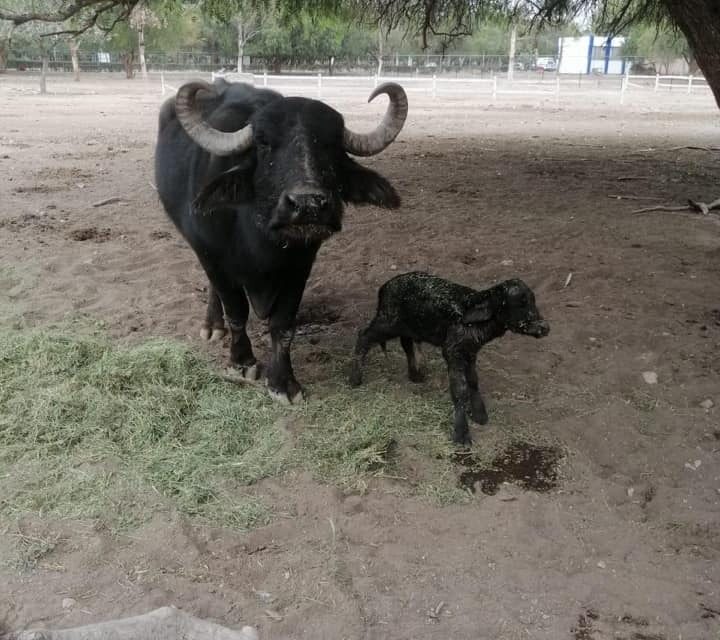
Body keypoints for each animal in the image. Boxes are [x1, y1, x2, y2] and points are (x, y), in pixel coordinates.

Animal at [154, 79, 407, 403]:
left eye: (331, 145)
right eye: (263, 143)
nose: (308, 204)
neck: (259, 244)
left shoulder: (300, 265)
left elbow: (283, 324)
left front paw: (283, 382)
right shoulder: (212, 255)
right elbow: (237, 312)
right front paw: (242, 362)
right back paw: (213, 326)